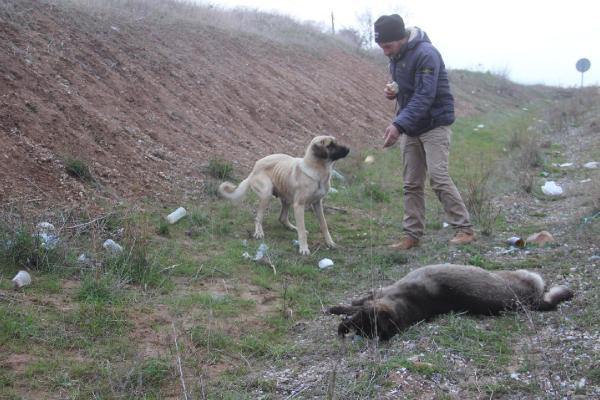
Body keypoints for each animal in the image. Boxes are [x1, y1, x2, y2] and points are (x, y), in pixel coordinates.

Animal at [218, 136, 350, 255]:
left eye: (336, 142)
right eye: (330, 145)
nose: (348, 149)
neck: (318, 171)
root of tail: (254, 168)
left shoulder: (317, 203)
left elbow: (324, 225)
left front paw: (330, 243)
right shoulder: (299, 205)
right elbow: (302, 231)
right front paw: (303, 248)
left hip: (287, 198)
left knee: (282, 218)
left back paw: (293, 228)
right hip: (267, 193)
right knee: (258, 217)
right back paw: (259, 232)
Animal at [328, 262, 572, 340]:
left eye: (363, 321)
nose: (345, 327)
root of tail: (531, 301)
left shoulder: (380, 294)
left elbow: (359, 300)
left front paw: (339, 307)